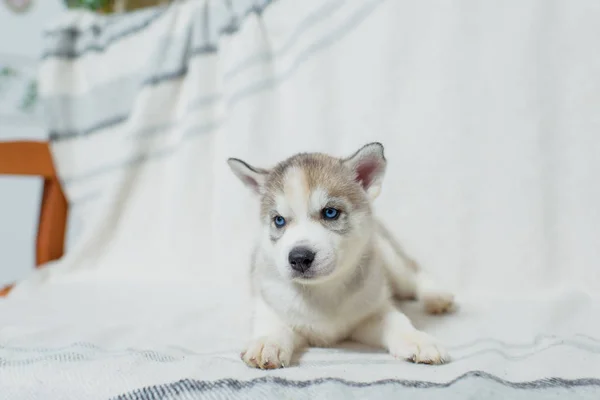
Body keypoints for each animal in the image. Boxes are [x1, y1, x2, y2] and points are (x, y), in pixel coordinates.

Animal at [227, 143, 452, 368]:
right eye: (279, 220)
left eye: (330, 213)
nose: (299, 258)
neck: (322, 291)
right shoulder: (269, 305)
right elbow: (272, 324)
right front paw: (266, 342)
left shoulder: (371, 312)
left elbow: (396, 321)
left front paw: (417, 339)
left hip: (390, 258)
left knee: (413, 272)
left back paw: (436, 296)